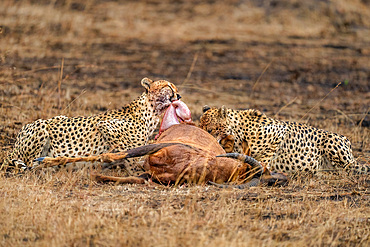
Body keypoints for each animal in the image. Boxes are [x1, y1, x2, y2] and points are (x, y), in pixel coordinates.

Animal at [2, 77, 188, 174]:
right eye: (168, 86)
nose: (179, 95)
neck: (151, 110)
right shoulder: (104, 125)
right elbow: (131, 150)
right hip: (40, 126)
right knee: (26, 165)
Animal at [201, 105, 368, 174]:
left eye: (210, 129)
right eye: (200, 127)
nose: (205, 137)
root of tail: (346, 139)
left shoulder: (281, 131)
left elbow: (267, 153)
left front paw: (263, 164)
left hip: (332, 144)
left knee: (350, 169)